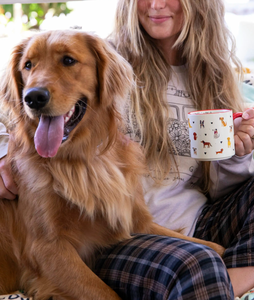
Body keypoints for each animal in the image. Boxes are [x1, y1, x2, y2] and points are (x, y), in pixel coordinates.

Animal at [0, 30, 223, 300]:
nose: (33, 97)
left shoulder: (136, 220)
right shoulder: (47, 249)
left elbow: (214, 248)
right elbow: (106, 294)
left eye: (68, 60)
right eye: (28, 65)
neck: (81, 158)